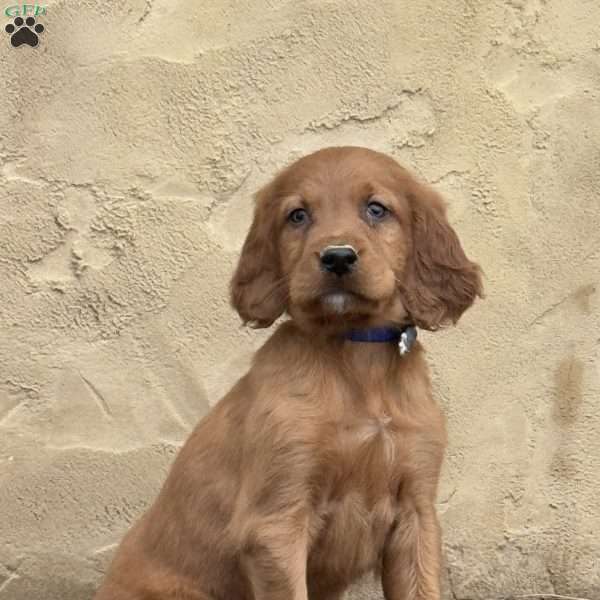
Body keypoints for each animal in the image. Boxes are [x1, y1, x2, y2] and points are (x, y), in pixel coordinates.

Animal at [94, 145, 482, 600]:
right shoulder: (277, 522)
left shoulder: (416, 513)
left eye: (376, 209)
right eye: (298, 215)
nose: (337, 257)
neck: (355, 354)